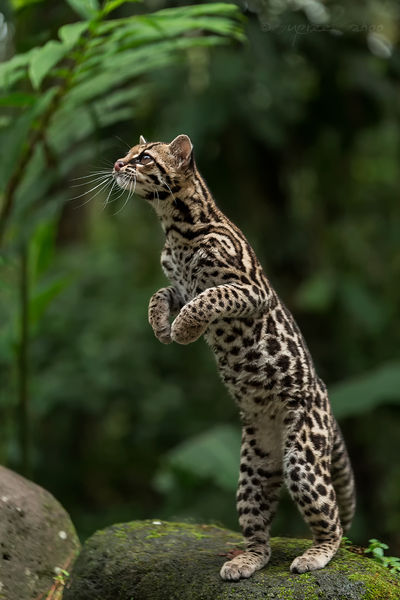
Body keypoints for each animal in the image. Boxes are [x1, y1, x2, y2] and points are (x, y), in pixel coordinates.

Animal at [111, 134, 354, 580]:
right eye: (131, 153)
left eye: (145, 157)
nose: (118, 164)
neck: (174, 226)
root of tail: (327, 403)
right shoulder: (178, 285)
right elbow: (159, 295)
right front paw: (161, 327)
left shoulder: (249, 289)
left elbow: (209, 298)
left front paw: (183, 331)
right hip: (253, 469)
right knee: (259, 531)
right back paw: (245, 560)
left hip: (302, 457)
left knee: (333, 521)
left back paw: (315, 554)